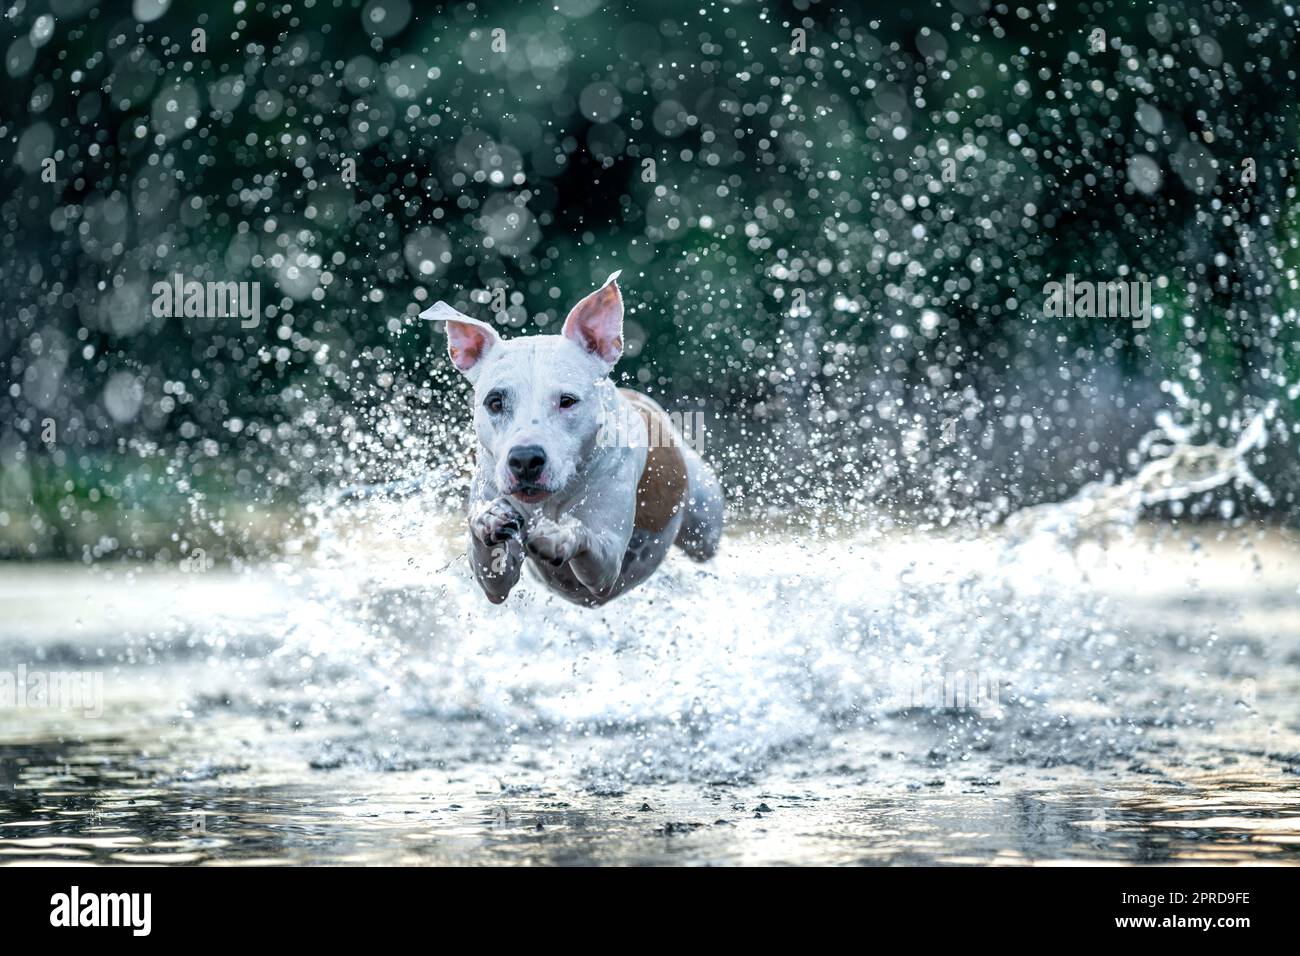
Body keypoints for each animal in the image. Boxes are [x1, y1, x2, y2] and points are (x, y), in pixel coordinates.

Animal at [421, 269, 722, 606]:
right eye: (495, 402)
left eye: (567, 401)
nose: (525, 459)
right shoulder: (495, 578)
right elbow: (491, 567)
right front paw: (489, 517)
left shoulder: (607, 564)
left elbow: (584, 534)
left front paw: (558, 535)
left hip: (704, 524)